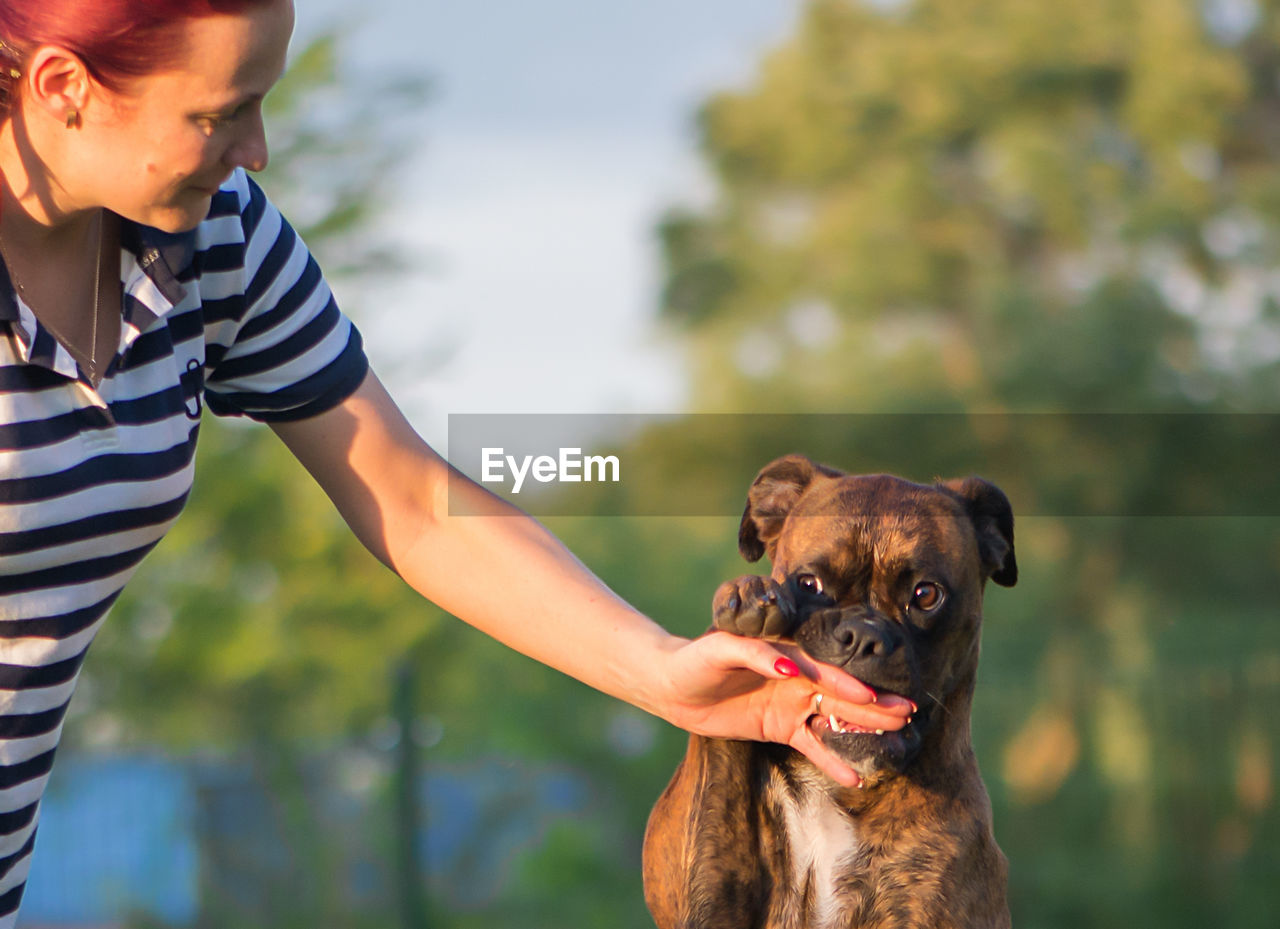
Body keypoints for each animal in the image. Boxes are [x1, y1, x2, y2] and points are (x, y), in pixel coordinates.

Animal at [645, 455, 1013, 929]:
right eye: (808, 584)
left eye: (926, 594)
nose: (862, 636)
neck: (837, 790)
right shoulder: (708, 883)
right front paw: (747, 601)